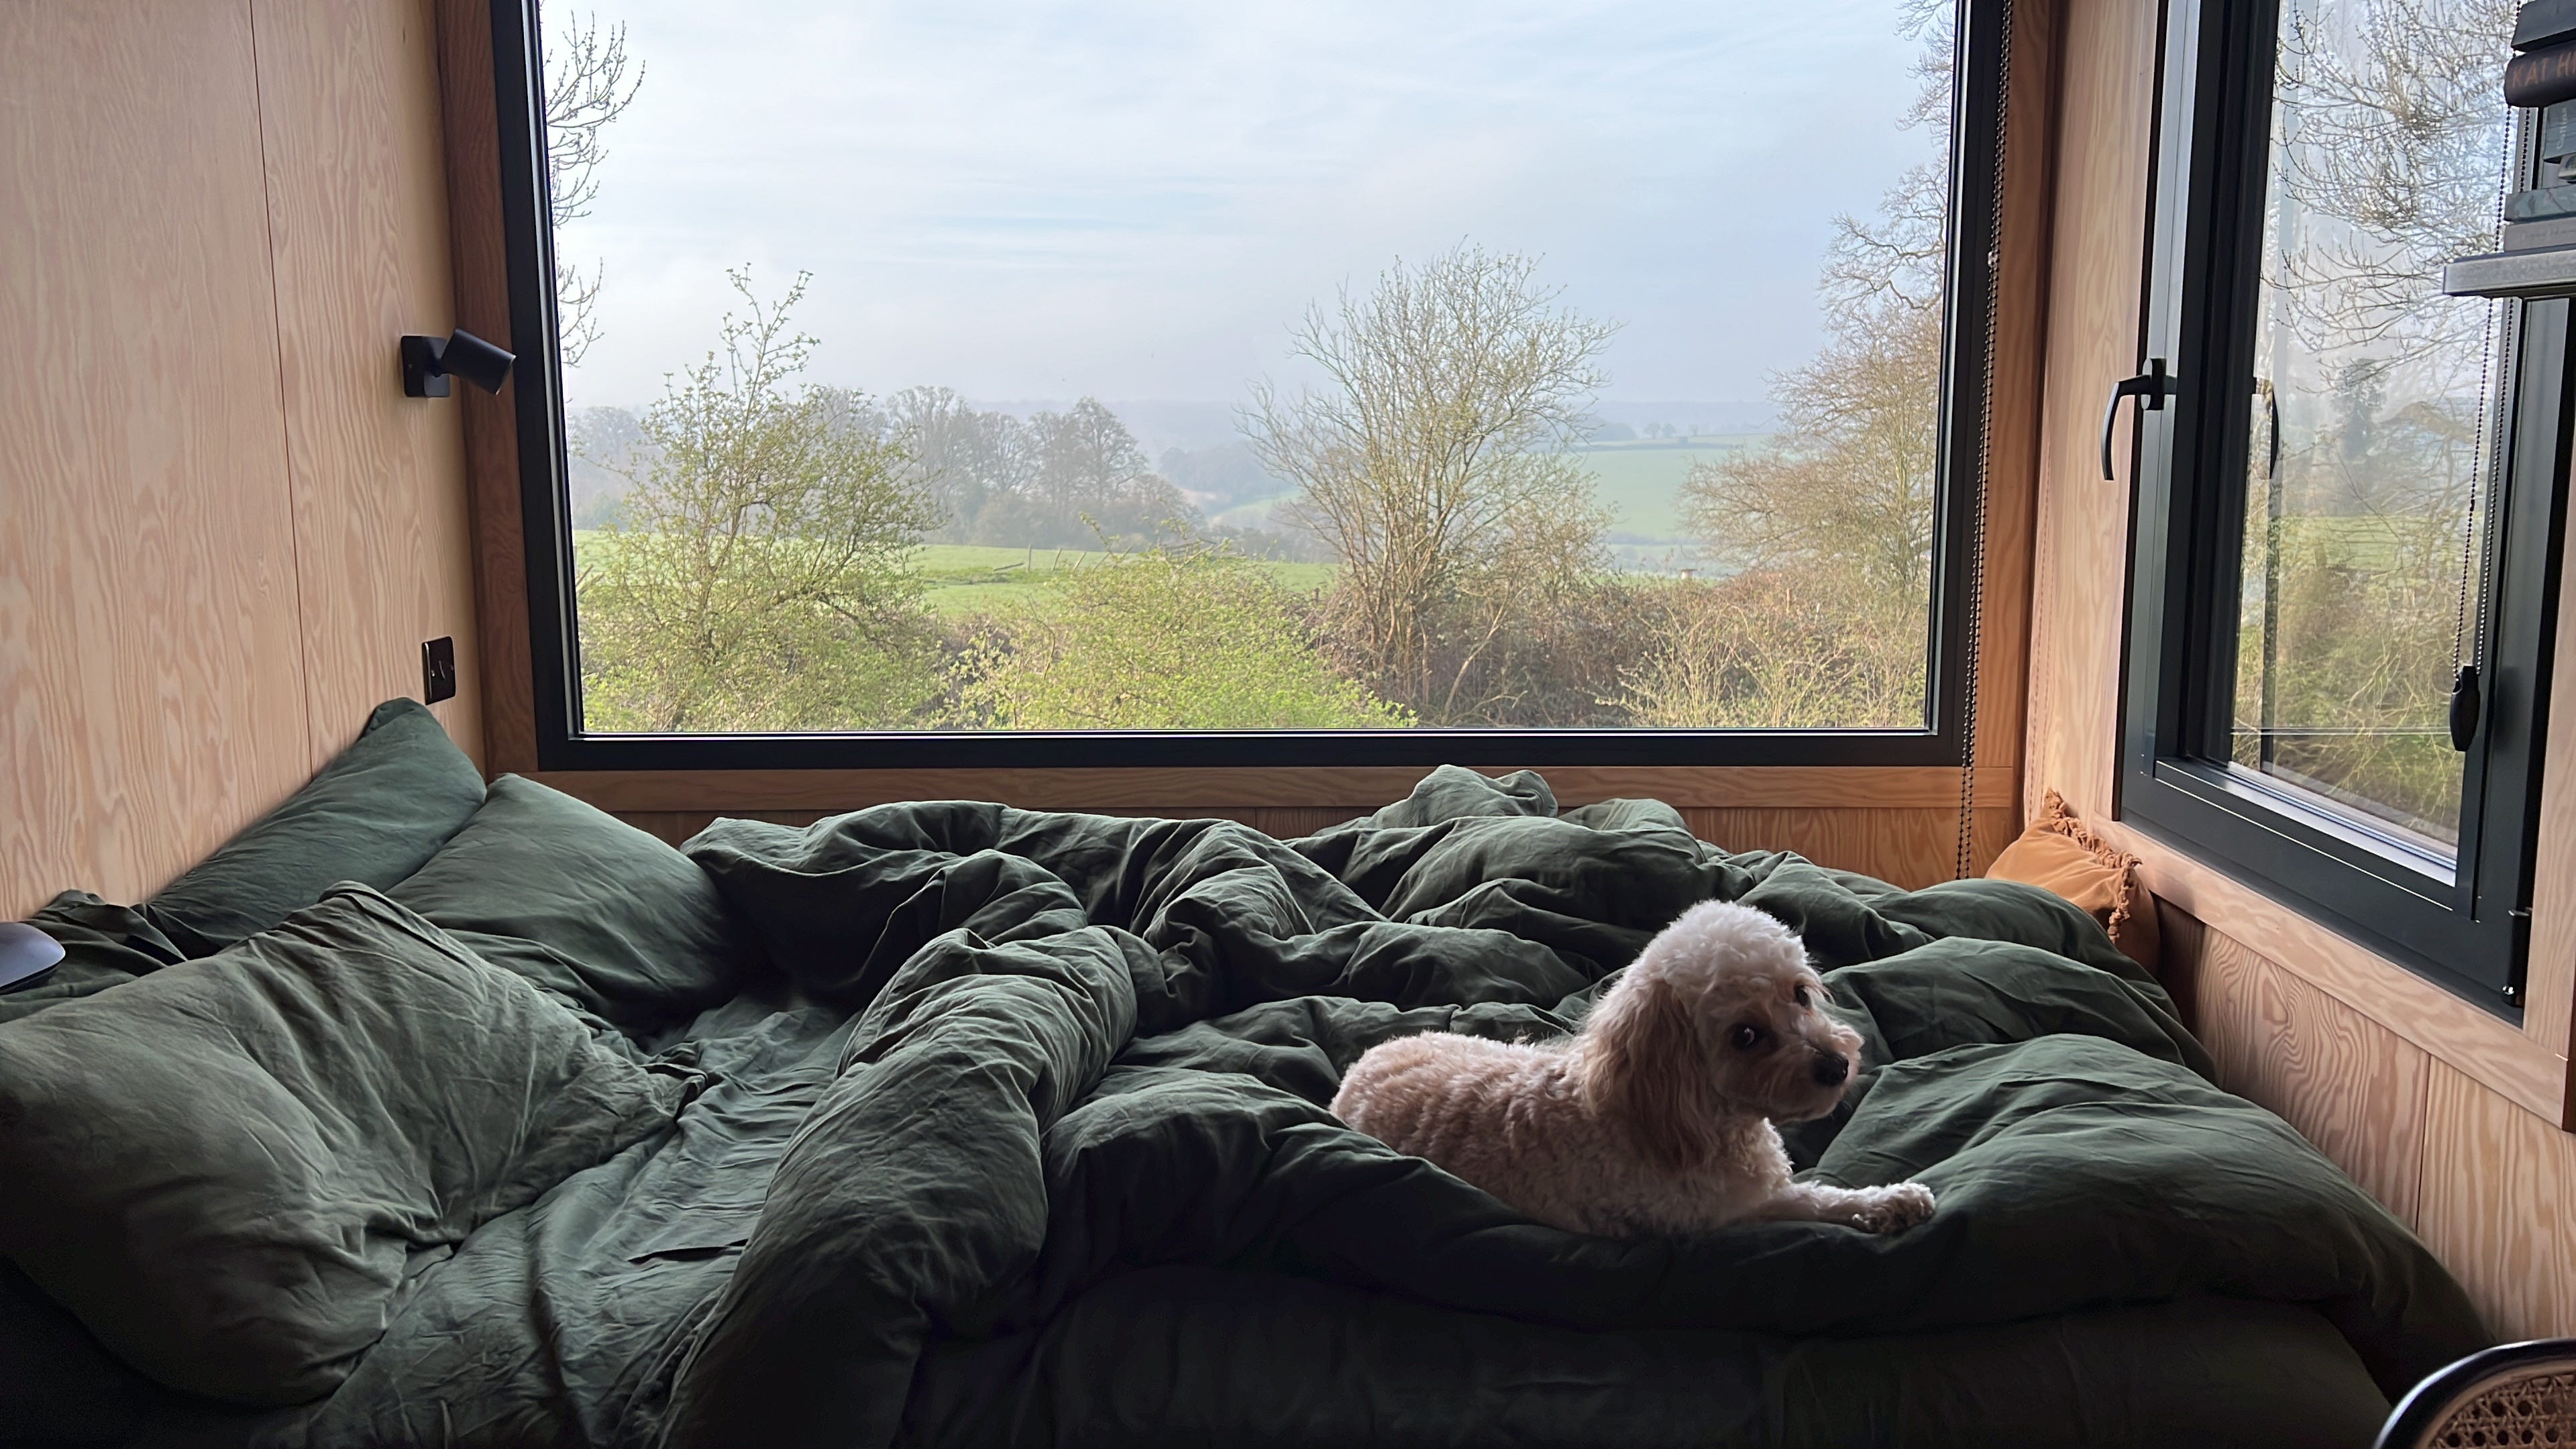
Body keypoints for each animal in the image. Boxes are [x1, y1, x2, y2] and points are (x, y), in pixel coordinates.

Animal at [1330, 900, 1935, 1237]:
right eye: (1744, 1036)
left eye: (1800, 994)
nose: (1837, 1066)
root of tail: (1359, 1067)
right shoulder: (1729, 1213)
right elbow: (1816, 1200)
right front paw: (1892, 1201)